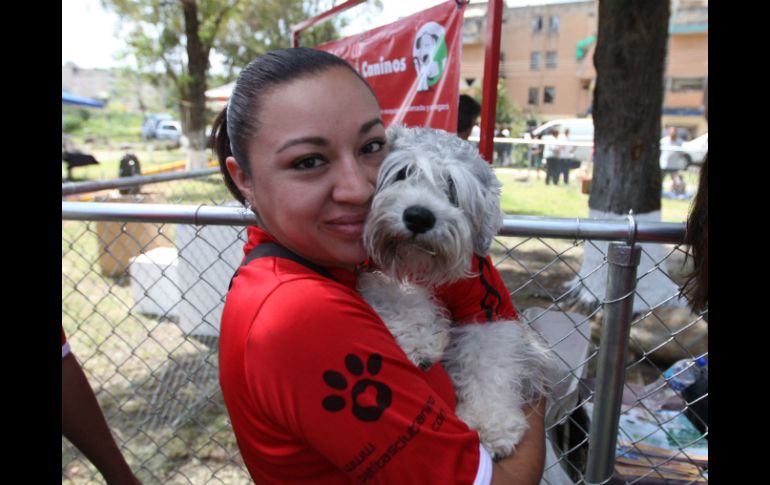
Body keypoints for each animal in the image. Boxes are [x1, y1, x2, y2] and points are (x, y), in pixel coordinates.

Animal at [356, 125, 556, 458]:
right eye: (402, 173)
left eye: (451, 186)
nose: (419, 216)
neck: (421, 265)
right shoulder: (371, 271)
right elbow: (398, 293)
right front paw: (419, 341)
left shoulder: (487, 308)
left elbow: (490, 358)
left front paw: (490, 423)